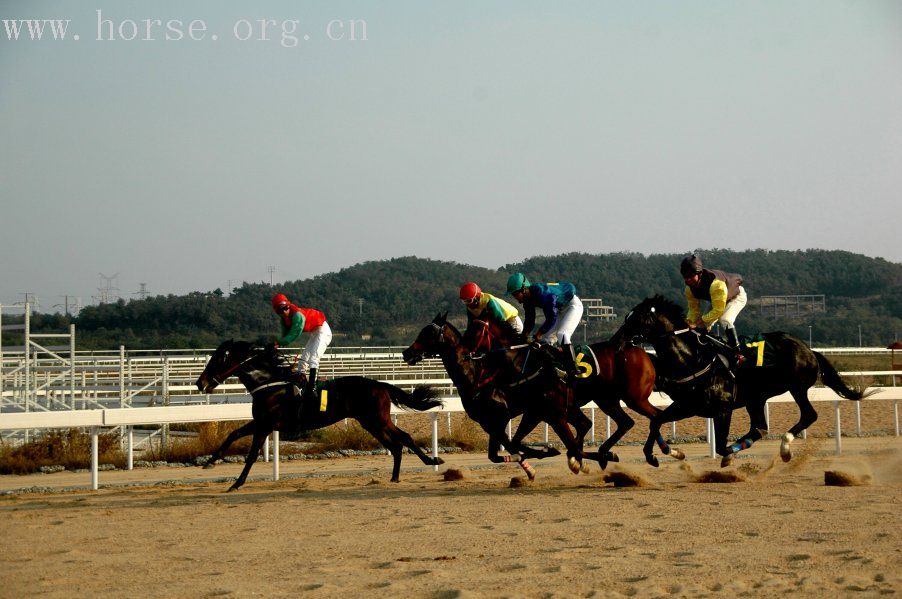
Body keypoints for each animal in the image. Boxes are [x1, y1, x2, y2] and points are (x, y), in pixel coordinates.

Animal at [201, 340, 448, 490]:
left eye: (218, 360)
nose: (200, 383)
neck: (270, 385)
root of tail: (380, 385)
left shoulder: (265, 425)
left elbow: (251, 455)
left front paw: (237, 482)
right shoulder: (260, 422)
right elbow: (232, 435)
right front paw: (210, 461)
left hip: (377, 420)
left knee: (404, 437)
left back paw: (432, 460)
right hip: (370, 422)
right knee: (395, 445)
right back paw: (395, 476)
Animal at [400, 314, 588, 478]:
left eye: (429, 333)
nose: (406, 353)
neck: (474, 378)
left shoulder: (500, 418)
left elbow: (509, 446)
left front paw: (545, 453)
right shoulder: (487, 422)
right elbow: (499, 453)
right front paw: (532, 466)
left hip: (547, 412)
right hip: (551, 411)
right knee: (583, 425)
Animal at [612, 298, 872, 466]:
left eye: (636, 318)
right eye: (626, 317)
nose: (617, 339)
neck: (692, 359)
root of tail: (809, 350)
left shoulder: (723, 408)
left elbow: (720, 445)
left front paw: (727, 455)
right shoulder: (687, 406)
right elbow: (656, 421)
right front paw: (663, 453)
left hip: (796, 387)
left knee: (808, 415)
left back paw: (785, 449)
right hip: (756, 398)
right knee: (760, 427)